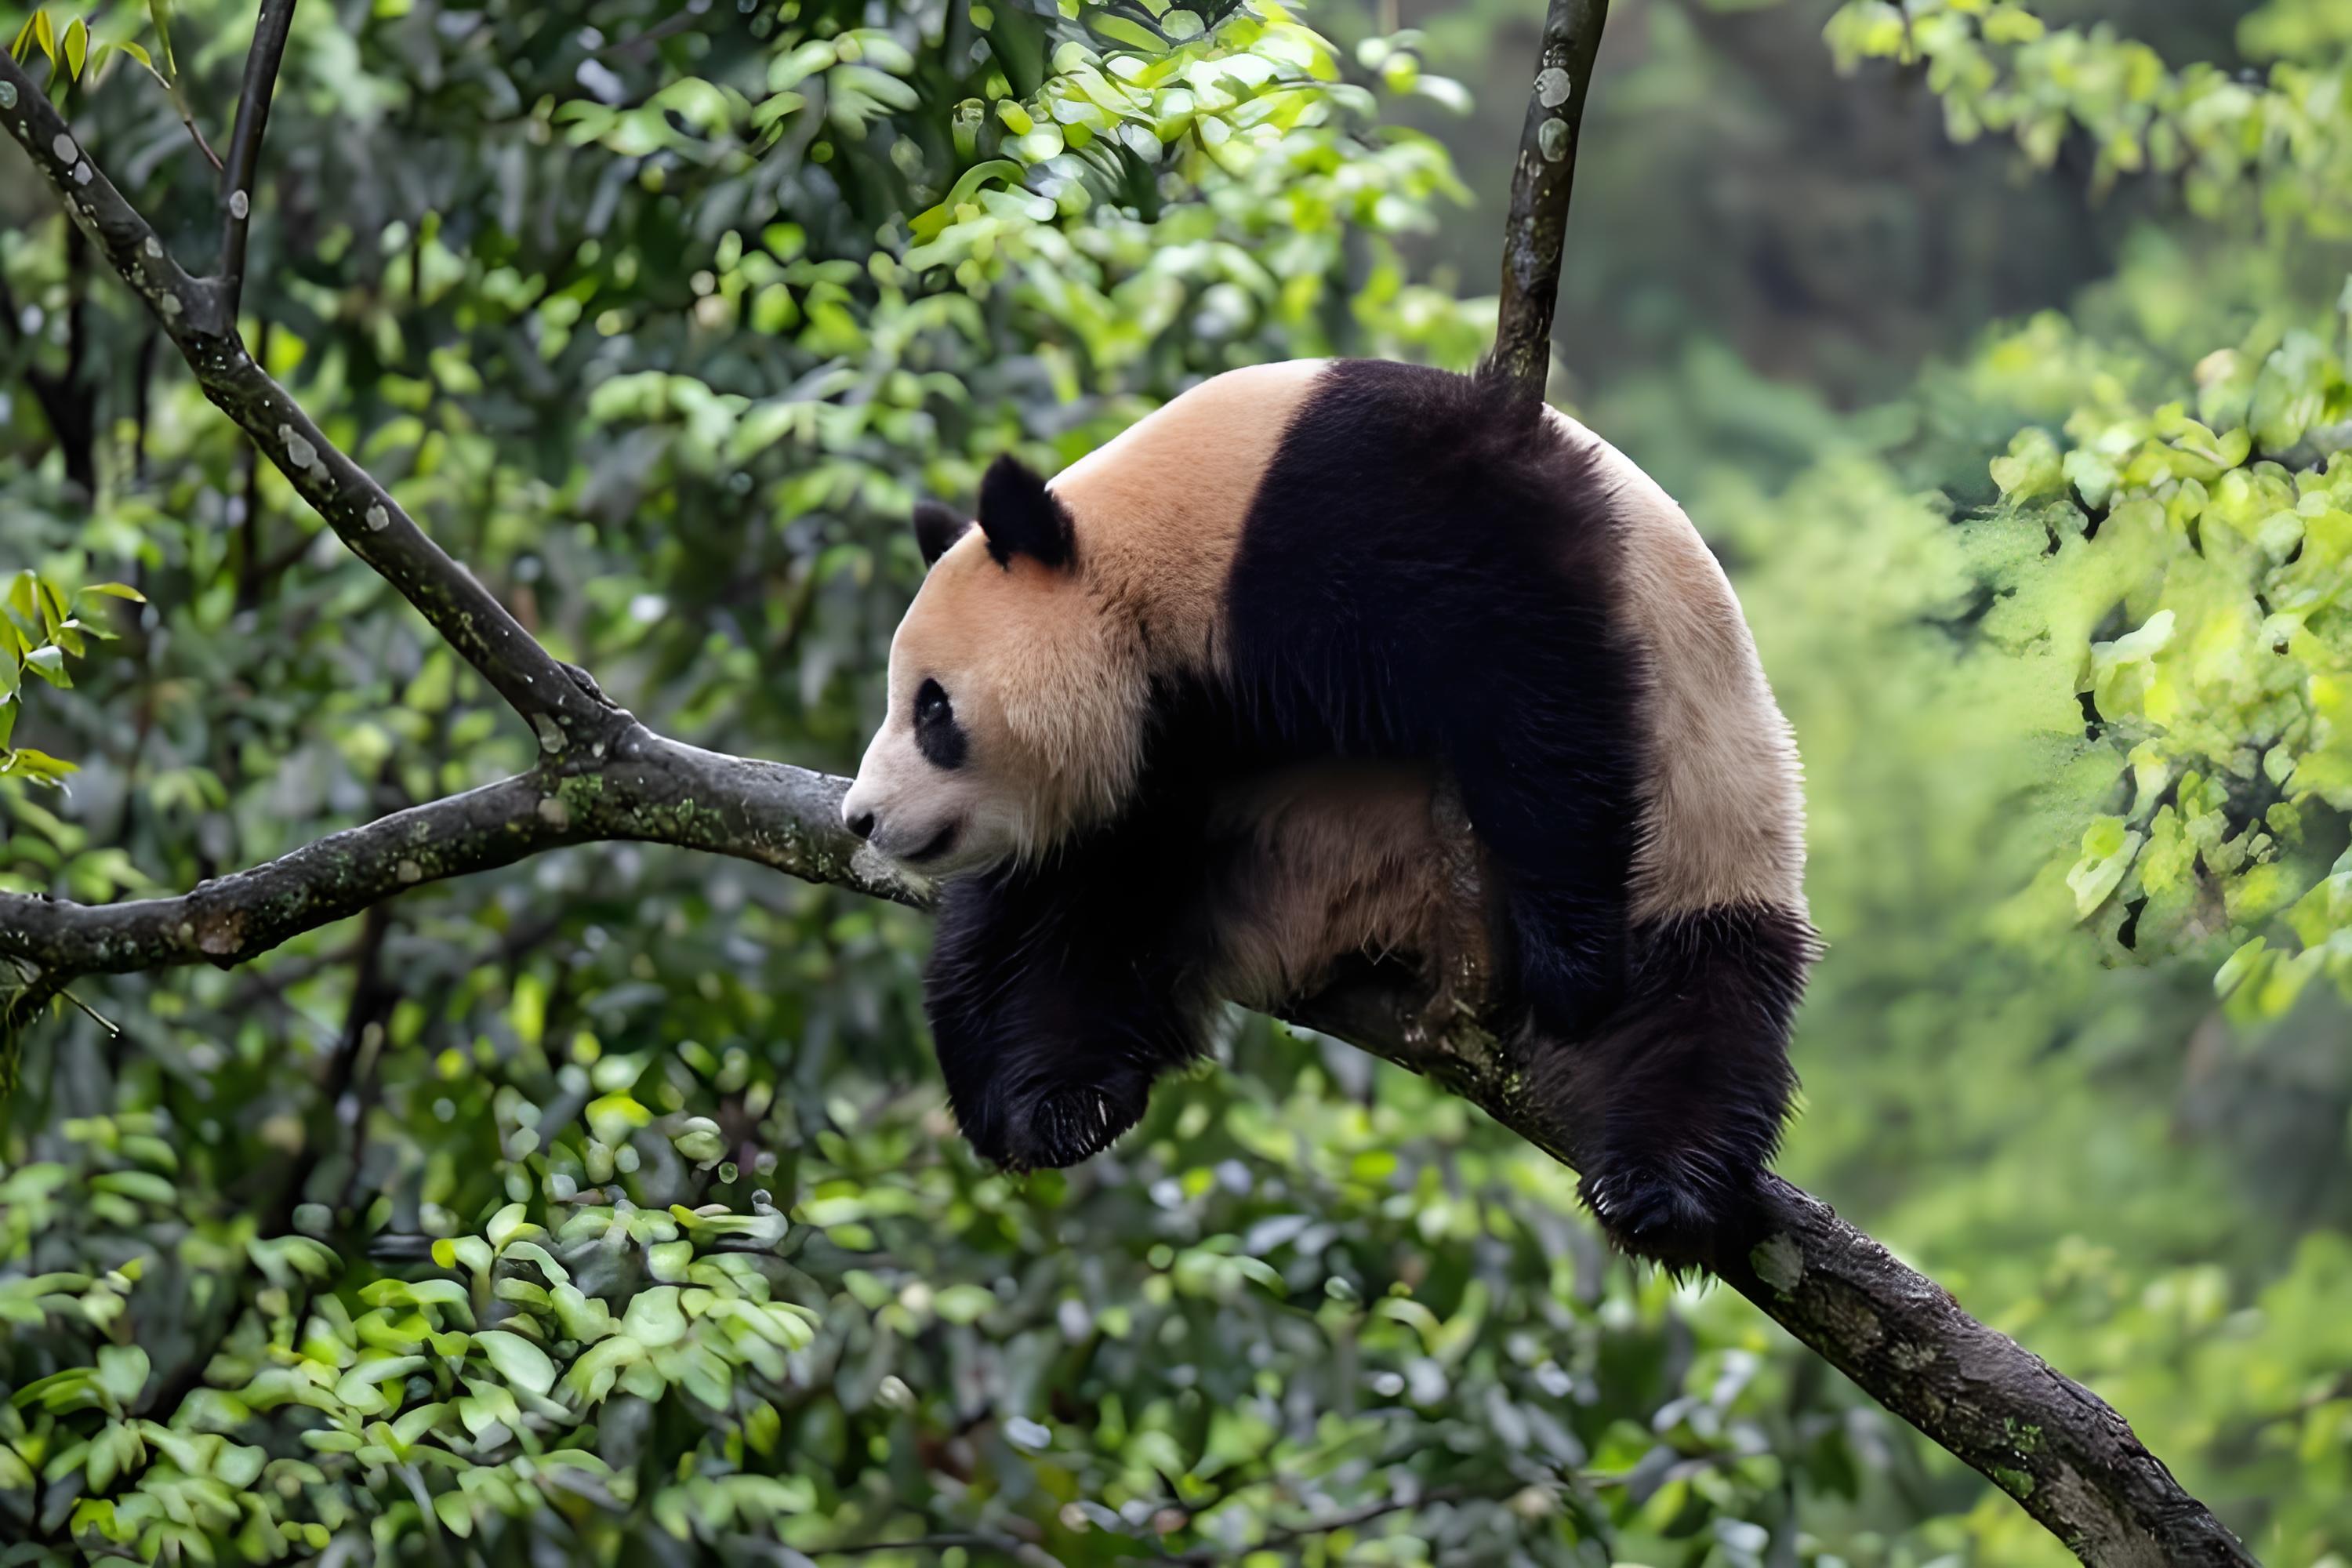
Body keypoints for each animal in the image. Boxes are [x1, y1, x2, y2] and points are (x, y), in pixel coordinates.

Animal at [840, 358, 1814, 1252]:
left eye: (931, 707)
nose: (863, 817)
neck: (1157, 546)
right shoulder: (1174, 738)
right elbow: (1075, 889)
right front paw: (1037, 1095)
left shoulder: (1383, 507)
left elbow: (1533, 682)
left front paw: (1567, 966)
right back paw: (1061, 1096)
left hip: (1706, 833)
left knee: (1698, 1012)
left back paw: (1656, 1187)